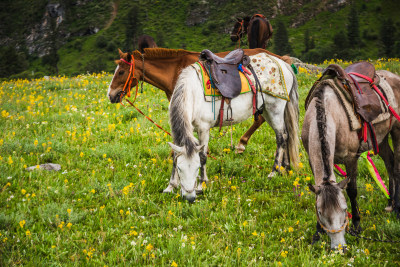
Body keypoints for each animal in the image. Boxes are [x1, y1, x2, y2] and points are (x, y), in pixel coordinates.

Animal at [106, 47, 288, 154]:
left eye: (121, 72)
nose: (110, 95)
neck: (175, 70)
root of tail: (279, 57)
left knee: (261, 120)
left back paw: (241, 144)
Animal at [164, 54, 298, 203]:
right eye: (180, 168)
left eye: (197, 167)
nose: (190, 198)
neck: (194, 92)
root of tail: (282, 64)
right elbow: (175, 155)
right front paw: (171, 186)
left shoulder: (203, 129)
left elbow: (203, 155)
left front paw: (201, 185)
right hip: (267, 111)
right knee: (286, 135)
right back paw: (285, 168)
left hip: (275, 109)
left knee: (281, 137)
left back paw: (273, 172)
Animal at [304, 69, 400, 251]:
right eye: (320, 212)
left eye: (344, 209)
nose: (339, 248)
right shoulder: (312, 161)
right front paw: (317, 234)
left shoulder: (351, 158)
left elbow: (352, 191)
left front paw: (356, 226)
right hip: (381, 138)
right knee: (390, 163)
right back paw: (390, 202)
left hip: (397, 131)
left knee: (397, 167)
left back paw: (397, 207)